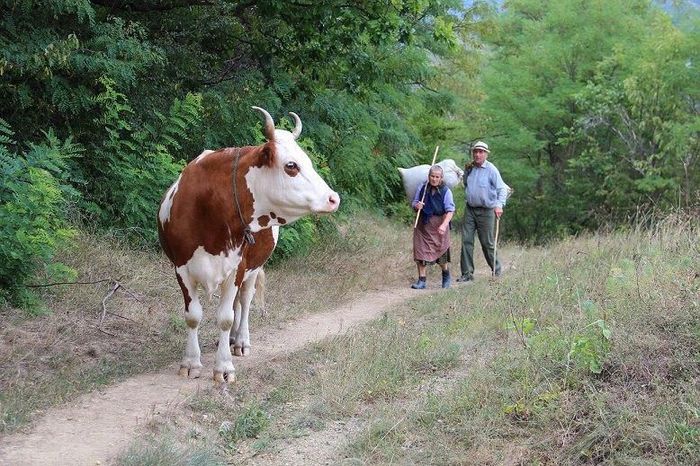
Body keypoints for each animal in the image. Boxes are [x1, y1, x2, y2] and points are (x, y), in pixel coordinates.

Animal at [157, 107, 342, 384]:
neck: (209, 208)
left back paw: (240, 340)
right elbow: (193, 316)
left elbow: (225, 317)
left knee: (243, 302)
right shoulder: (181, 267)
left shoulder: (238, 267)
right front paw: (190, 362)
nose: (333, 198)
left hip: (254, 268)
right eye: (291, 166)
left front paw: (224, 366)